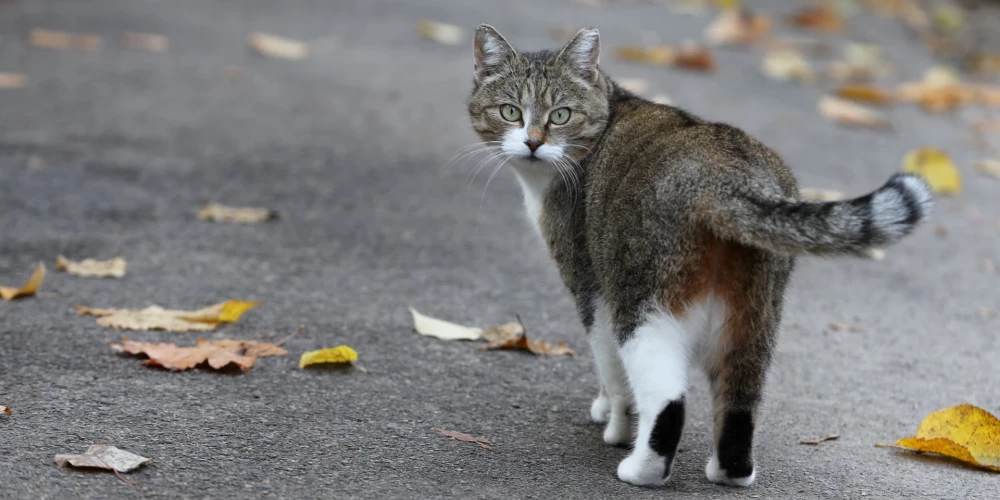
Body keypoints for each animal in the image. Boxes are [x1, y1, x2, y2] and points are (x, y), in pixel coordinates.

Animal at [464, 24, 932, 488]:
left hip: (643, 301)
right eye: (510, 112)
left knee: (668, 399)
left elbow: (612, 373)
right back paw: (730, 472)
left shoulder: (590, 287)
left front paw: (616, 425)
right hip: (754, 315)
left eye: (560, 115)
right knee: (740, 401)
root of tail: (725, 175)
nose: (532, 143)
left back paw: (642, 468)